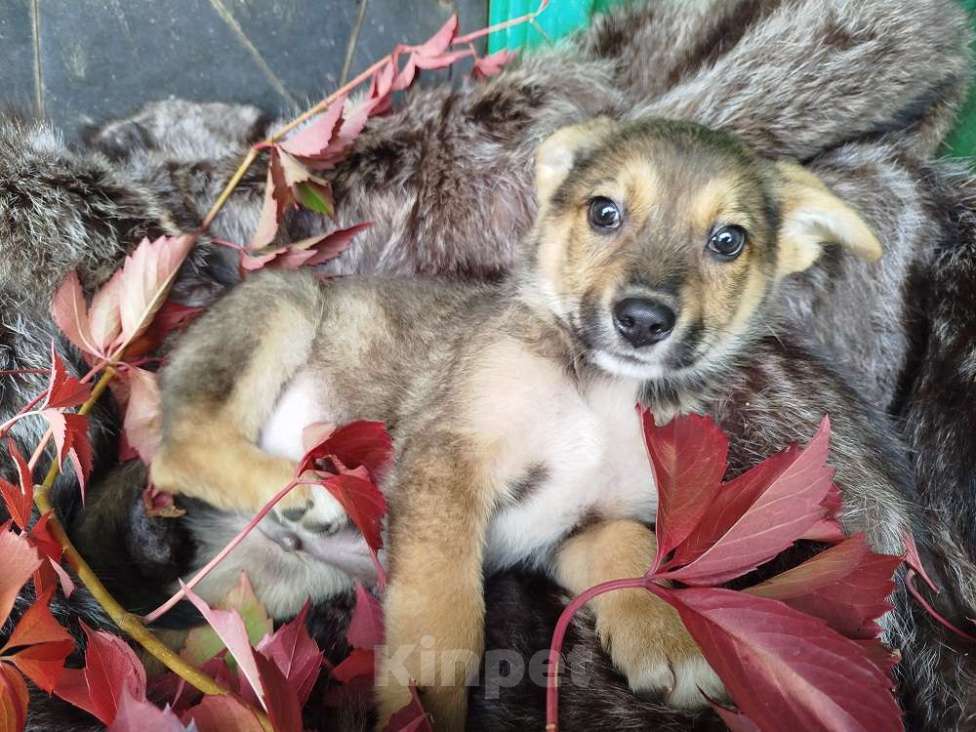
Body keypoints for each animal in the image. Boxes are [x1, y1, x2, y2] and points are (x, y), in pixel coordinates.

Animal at [152, 118, 924, 728]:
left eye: (728, 241)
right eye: (604, 212)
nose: (643, 320)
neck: (599, 389)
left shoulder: (566, 528)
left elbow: (629, 547)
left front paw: (667, 636)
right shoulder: (449, 461)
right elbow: (443, 621)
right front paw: (421, 710)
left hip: (258, 589)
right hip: (287, 302)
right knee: (179, 442)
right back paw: (303, 491)